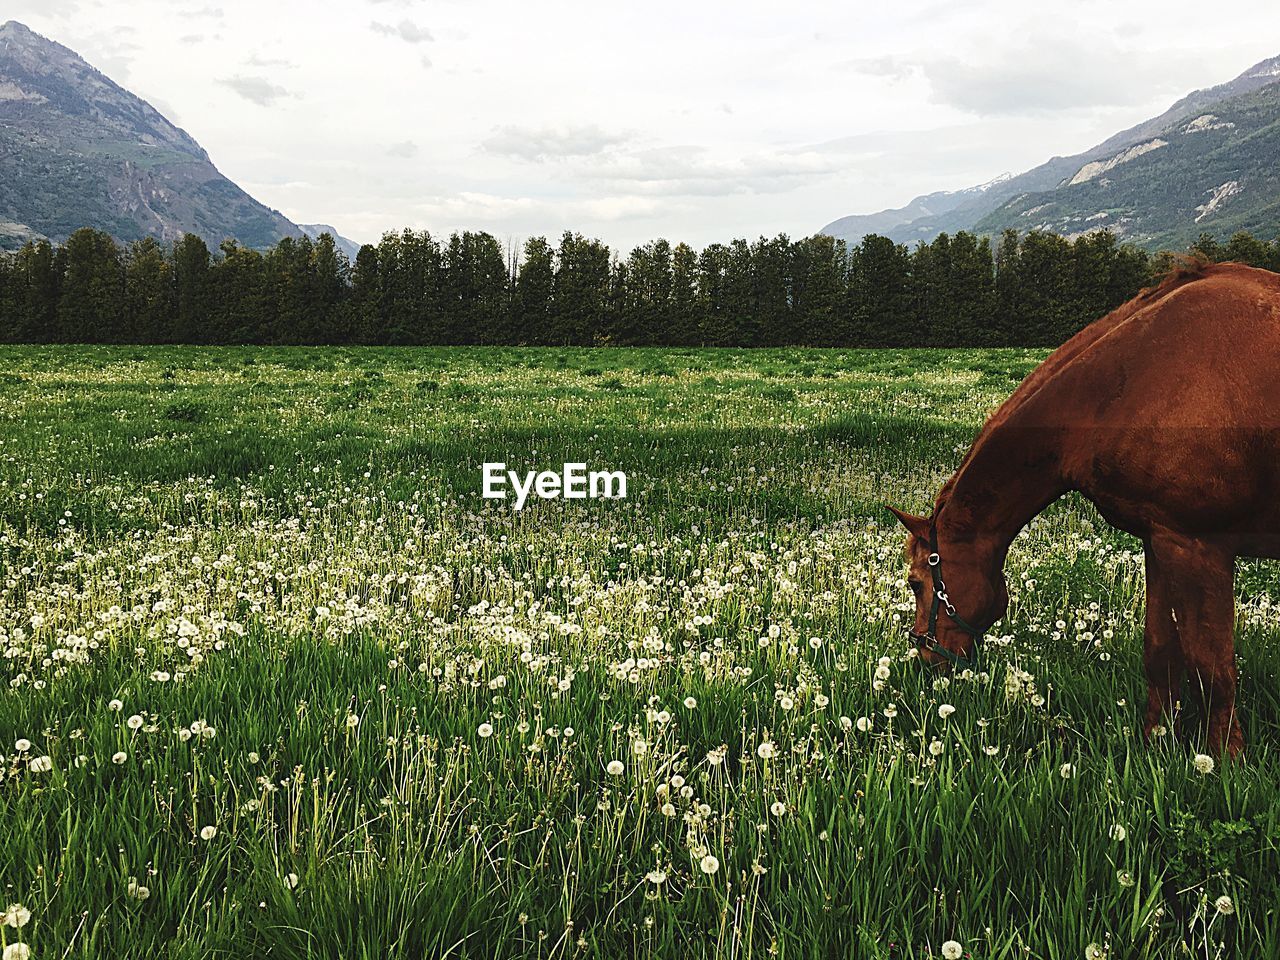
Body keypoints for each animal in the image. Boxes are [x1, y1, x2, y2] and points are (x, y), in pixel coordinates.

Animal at [885, 259, 1280, 757]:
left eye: (915, 583)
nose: (924, 659)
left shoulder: (1201, 547)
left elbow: (1214, 670)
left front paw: (1225, 761)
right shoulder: (1161, 540)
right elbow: (1160, 653)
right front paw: (1155, 745)